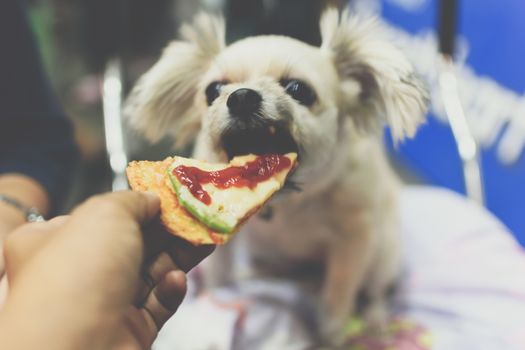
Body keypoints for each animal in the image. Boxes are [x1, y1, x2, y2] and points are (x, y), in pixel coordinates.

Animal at [125, 8, 428, 348]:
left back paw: (375, 318)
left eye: (299, 89)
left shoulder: (353, 242)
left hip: (384, 254)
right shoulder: (224, 249)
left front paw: (332, 335)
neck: (290, 202)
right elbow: (220, 277)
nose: (242, 97)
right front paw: (218, 300)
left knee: (376, 290)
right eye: (213, 90)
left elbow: (338, 298)